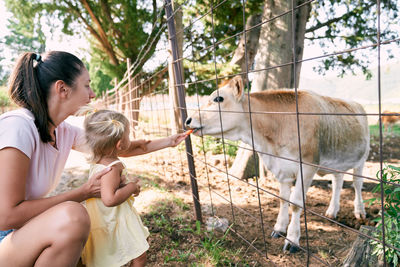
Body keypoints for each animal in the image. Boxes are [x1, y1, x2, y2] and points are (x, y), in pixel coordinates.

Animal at [186, 75, 370, 253]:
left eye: (218, 98)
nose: (188, 120)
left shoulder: (307, 166)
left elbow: (295, 203)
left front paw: (292, 240)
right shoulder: (282, 168)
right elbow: (283, 199)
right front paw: (279, 228)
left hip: (362, 157)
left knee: (357, 183)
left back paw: (360, 212)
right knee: (338, 181)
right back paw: (332, 211)